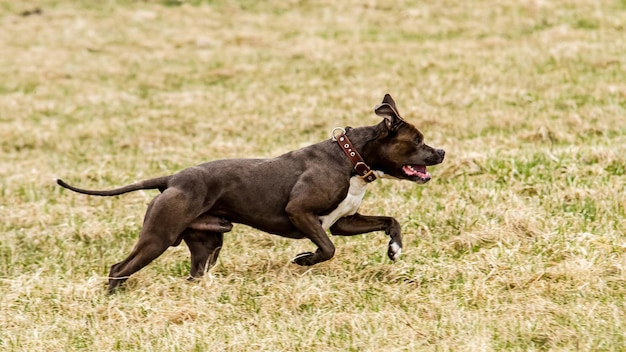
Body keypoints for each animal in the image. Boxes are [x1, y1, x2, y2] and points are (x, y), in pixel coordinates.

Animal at [54, 94, 444, 292]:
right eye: (418, 141)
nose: (441, 152)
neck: (352, 157)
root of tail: (173, 179)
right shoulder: (300, 212)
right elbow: (328, 249)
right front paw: (304, 259)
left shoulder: (343, 222)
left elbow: (390, 221)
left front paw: (394, 249)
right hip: (158, 238)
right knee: (118, 268)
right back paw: (112, 295)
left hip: (207, 245)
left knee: (194, 271)